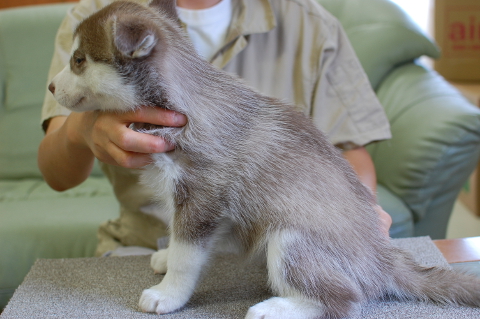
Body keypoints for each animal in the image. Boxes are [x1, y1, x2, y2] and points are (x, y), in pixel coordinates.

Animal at [49, 1, 480, 318]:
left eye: (79, 60)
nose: (51, 86)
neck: (186, 102)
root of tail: (383, 260)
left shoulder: (201, 197)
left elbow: (187, 256)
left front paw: (167, 293)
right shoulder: (185, 200)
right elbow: (176, 235)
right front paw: (165, 255)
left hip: (291, 239)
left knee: (344, 299)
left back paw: (274, 309)